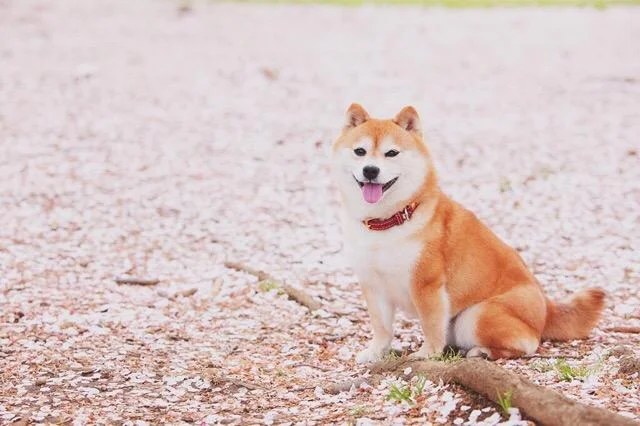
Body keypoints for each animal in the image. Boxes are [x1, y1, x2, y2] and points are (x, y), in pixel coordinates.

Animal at [330, 104, 604, 362]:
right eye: (360, 151)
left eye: (392, 153)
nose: (370, 170)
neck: (387, 223)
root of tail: (547, 310)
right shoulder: (373, 284)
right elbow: (382, 328)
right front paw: (376, 352)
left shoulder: (426, 284)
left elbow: (430, 325)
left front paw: (427, 354)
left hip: (474, 316)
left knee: (527, 344)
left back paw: (481, 351)